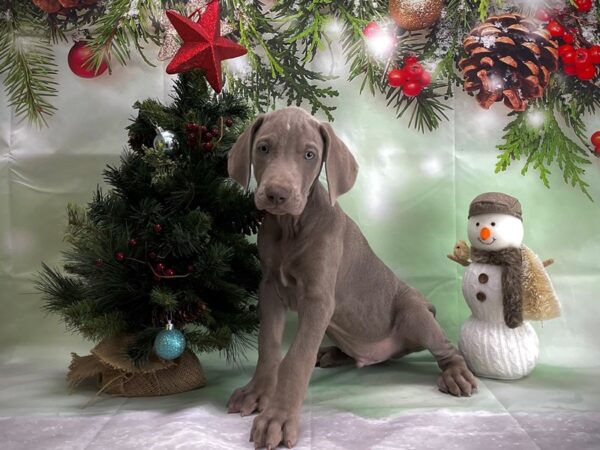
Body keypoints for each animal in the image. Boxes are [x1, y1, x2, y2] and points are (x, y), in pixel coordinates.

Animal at [227, 107, 476, 448]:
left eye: (309, 154)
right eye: (263, 148)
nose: (277, 194)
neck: (291, 227)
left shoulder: (318, 299)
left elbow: (296, 358)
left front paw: (278, 418)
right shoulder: (269, 289)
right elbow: (269, 345)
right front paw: (256, 392)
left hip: (413, 312)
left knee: (447, 348)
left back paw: (456, 374)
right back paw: (334, 353)